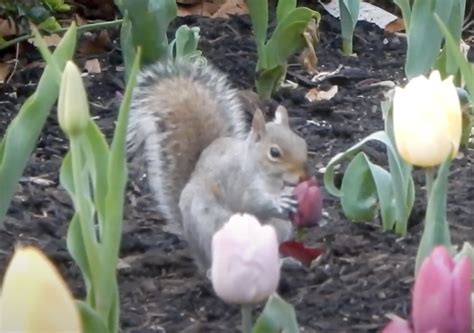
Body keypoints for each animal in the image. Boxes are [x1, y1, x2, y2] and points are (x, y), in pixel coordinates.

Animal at [128, 59, 310, 272]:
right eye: (274, 153)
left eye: (302, 142)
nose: (304, 176)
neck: (269, 178)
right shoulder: (237, 182)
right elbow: (250, 203)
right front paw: (279, 201)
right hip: (213, 228)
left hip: (276, 229)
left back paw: (282, 262)